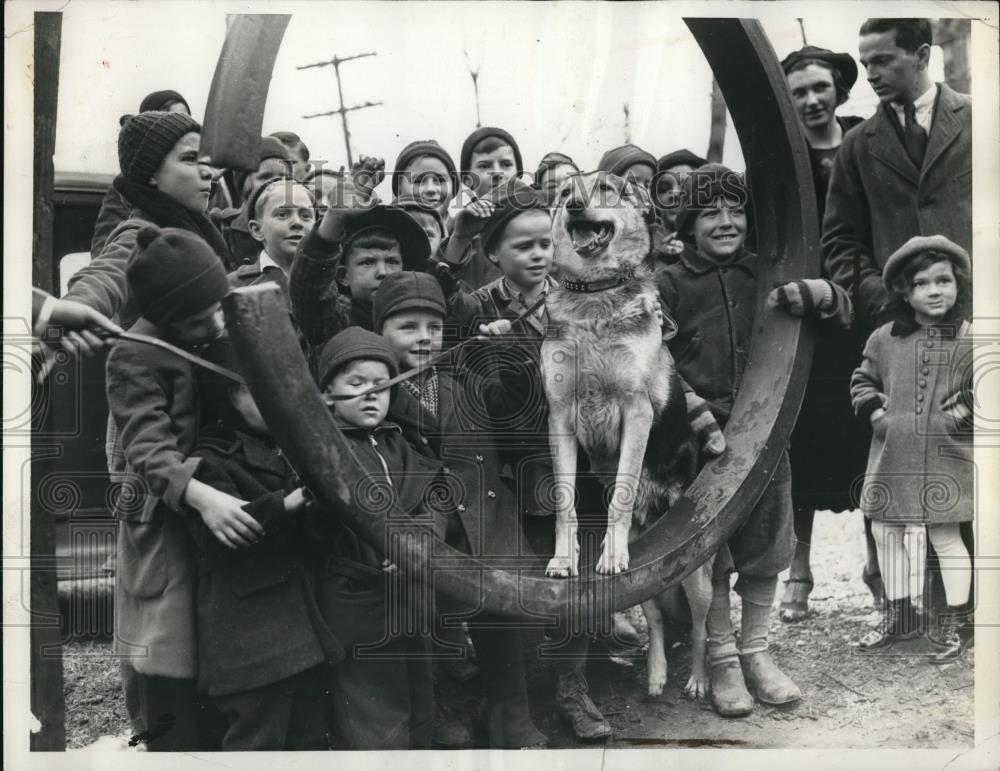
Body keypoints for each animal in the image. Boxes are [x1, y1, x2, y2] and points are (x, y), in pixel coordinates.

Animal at [544, 172, 716, 696]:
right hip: (650, 582)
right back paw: (656, 673)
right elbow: (564, 503)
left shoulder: (635, 412)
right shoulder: (560, 417)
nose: (574, 205)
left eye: (606, 188)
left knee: (700, 625)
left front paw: (612, 552)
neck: (592, 295)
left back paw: (699, 680)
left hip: (696, 575)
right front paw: (563, 558)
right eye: (565, 193)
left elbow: (620, 494)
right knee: (657, 620)